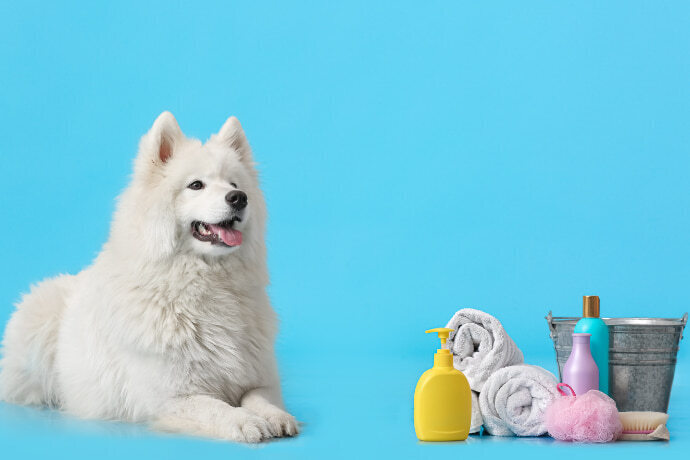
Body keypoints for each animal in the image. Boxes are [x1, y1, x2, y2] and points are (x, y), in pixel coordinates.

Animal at [0, 111, 298, 442]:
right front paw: (244, 422)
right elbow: (216, 407)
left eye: (234, 183)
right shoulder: (171, 398)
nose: (239, 198)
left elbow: (259, 397)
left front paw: (276, 416)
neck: (208, 286)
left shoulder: (260, 378)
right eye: (196, 185)